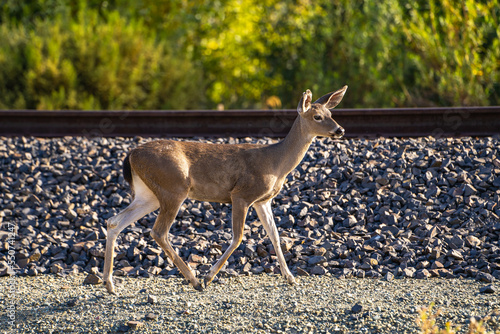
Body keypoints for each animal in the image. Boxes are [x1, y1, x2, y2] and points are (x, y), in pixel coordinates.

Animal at [102, 85, 348, 292]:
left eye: (331, 114)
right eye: (317, 116)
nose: (340, 130)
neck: (276, 163)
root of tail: (131, 155)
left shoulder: (263, 200)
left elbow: (276, 236)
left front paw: (290, 277)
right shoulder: (241, 194)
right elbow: (238, 237)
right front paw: (209, 276)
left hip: (149, 194)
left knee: (114, 221)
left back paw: (110, 284)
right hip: (174, 187)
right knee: (158, 231)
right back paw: (194, 280)